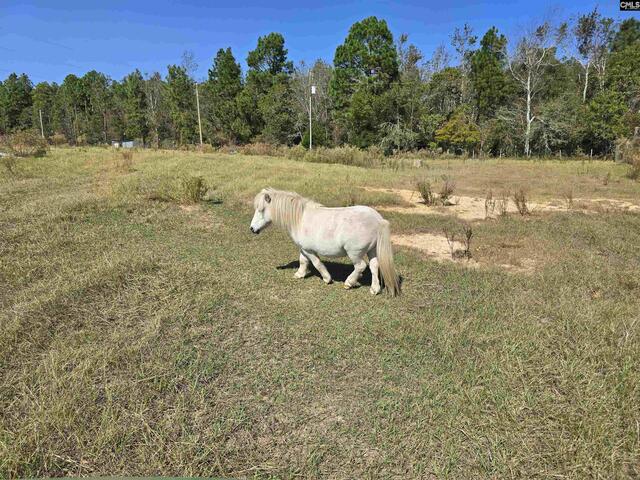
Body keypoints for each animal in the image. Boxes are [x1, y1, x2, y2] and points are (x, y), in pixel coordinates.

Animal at [250, 188, 400, 296]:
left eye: (261, 210)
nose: (252, 229)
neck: (300, 219)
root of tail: (378, 220)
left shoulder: (309, 250)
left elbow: (317, 263)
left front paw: (327, 278)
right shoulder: (303, 249)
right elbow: (303, 261)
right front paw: (299, 274)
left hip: (355, 253)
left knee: (361, 266)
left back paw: (349, 283)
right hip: (372, 250)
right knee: (374, 266)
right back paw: (374, 289)